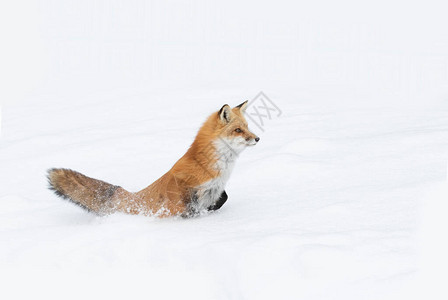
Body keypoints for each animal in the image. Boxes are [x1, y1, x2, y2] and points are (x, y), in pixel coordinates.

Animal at [47, 102, 260, 217]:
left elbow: (221, 199)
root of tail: (132, 197)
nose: (257, 138)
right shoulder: (181, 187)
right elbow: (183, 205)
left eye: (247, 127)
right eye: (238, 130)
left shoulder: (216, 191)